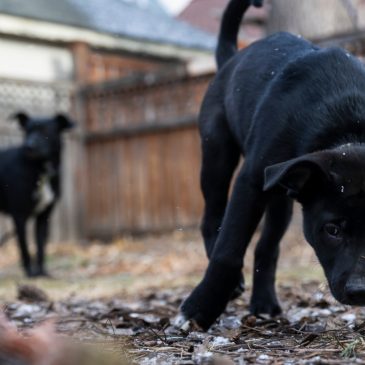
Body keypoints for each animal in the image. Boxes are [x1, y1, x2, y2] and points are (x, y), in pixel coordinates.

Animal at [0, 112, 74, 274]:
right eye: (28, 131)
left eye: (45, 131)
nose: (30, 146)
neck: (41, 171)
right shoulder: (19, 216)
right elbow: (24, 247)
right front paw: (30, 273)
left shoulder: (44, 216)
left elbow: (40, 246)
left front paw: (41, 272)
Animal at [173, 0, 365, 330]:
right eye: (332, 230)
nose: (360, 290)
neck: (349, 126)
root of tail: (231, 58)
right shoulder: (250, 181)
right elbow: (228, 250)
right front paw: (199, 309)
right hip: (217, 155)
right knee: (212, 218)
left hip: (281, 194)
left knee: (268, 245)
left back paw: (263, 302)